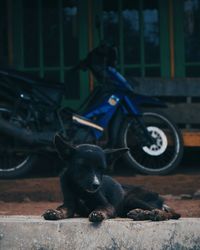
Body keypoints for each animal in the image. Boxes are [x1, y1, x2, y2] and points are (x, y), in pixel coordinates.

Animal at [43, 135, 180, 223]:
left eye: (102, 169)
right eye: (82, 167)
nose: (96, 185)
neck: (80, 189)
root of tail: (160, 198)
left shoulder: (108, 205)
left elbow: (101, 208)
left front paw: (98, 213)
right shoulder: (69, 204)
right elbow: (62, 209)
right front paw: (54, 212)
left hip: (131, 198)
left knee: (174, 214)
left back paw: (156, 214)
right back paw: (140, 214)